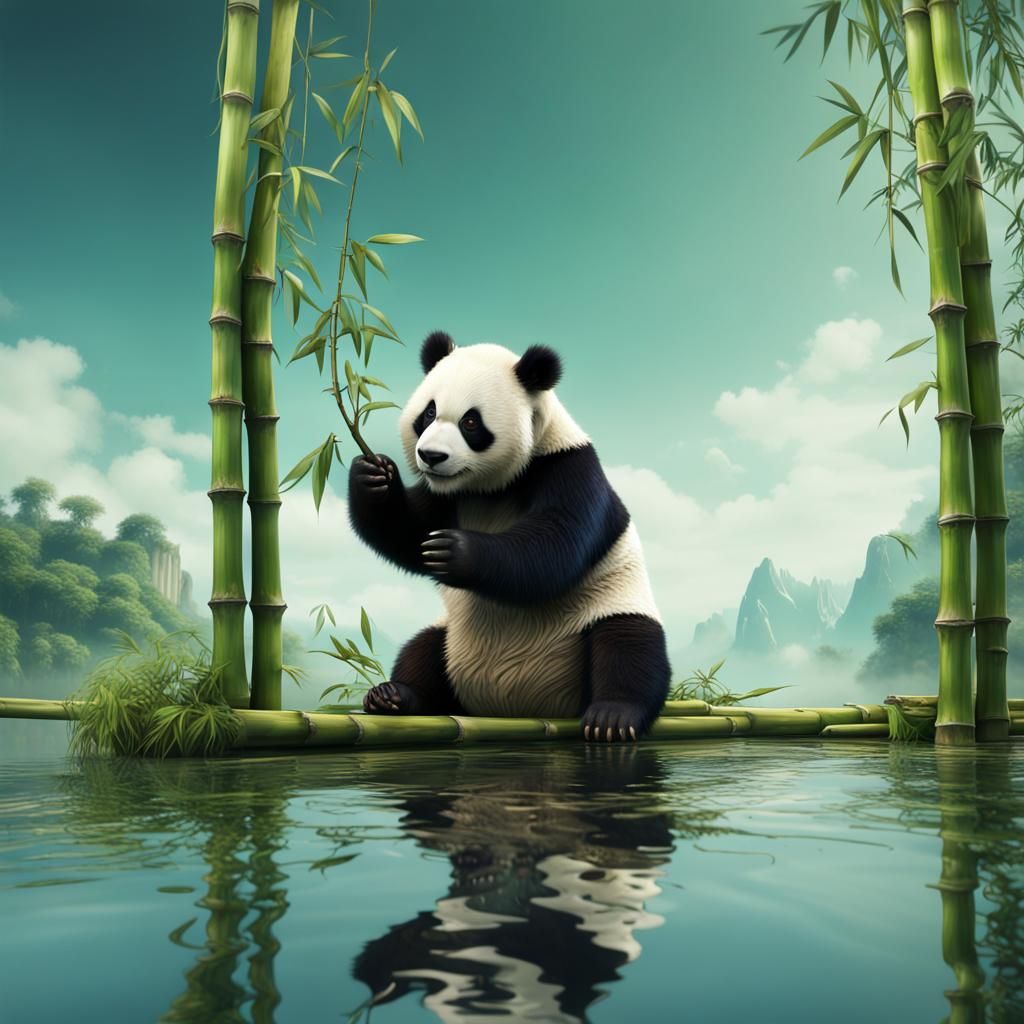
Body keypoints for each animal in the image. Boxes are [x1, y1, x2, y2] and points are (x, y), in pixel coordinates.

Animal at [347, 331, 670, 741]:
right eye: (429, 413)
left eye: (471, 421)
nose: (431, 456)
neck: (490, 488)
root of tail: (517, 708)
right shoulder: (449, 497)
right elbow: (409, 533)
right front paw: (373, 477)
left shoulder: (567, 468)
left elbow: (555, 546)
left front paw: (454, 551)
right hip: (451, 638)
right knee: (423, 650)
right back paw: (394, 696)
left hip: (605, 607)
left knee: (628, 648)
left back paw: (611, 717)